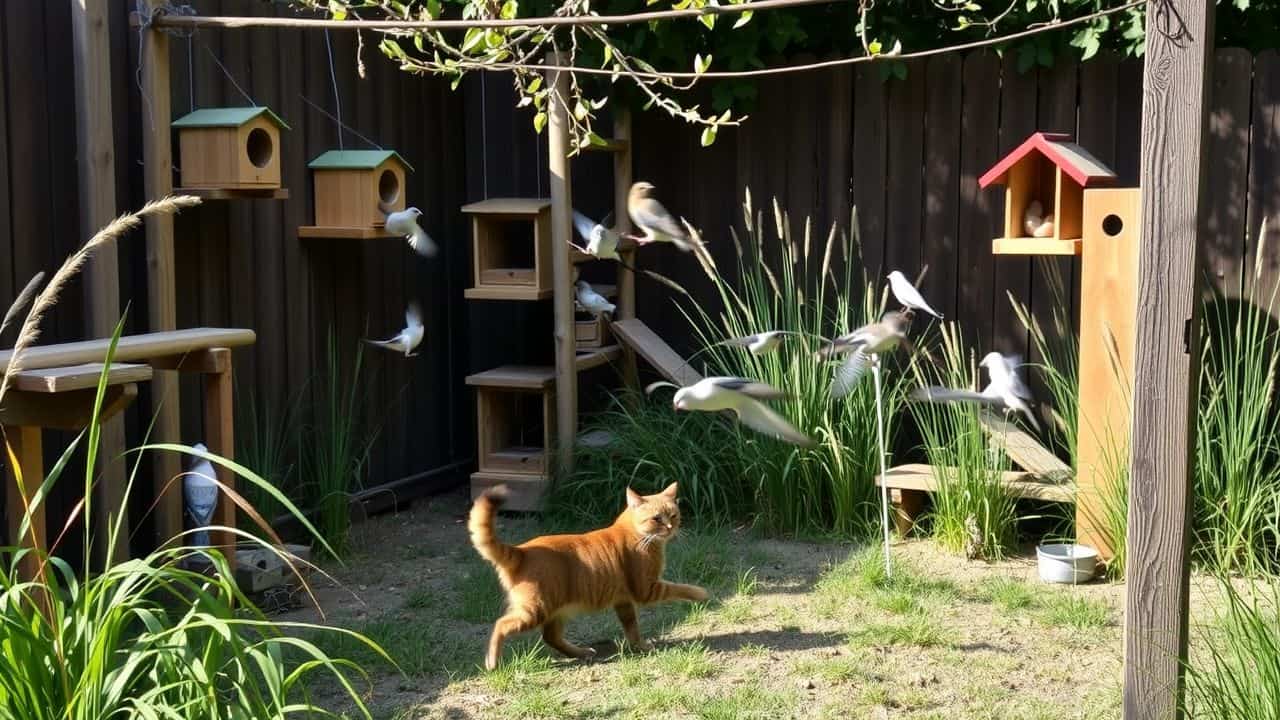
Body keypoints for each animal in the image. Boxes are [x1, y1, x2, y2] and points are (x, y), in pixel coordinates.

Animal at [471, 481, 706, 666]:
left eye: (673, 515)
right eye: (656, 518)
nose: (670, 527)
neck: (635, 534)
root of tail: (522, 551)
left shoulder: (624, 601)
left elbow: (632, 628)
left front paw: (639, 646)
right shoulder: (646, 589)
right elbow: (679, 588)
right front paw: (702, 594)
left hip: (556, 611)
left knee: (551, 637)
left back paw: (582, 652)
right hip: (534, 610)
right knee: (501, 625)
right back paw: (492, 662)